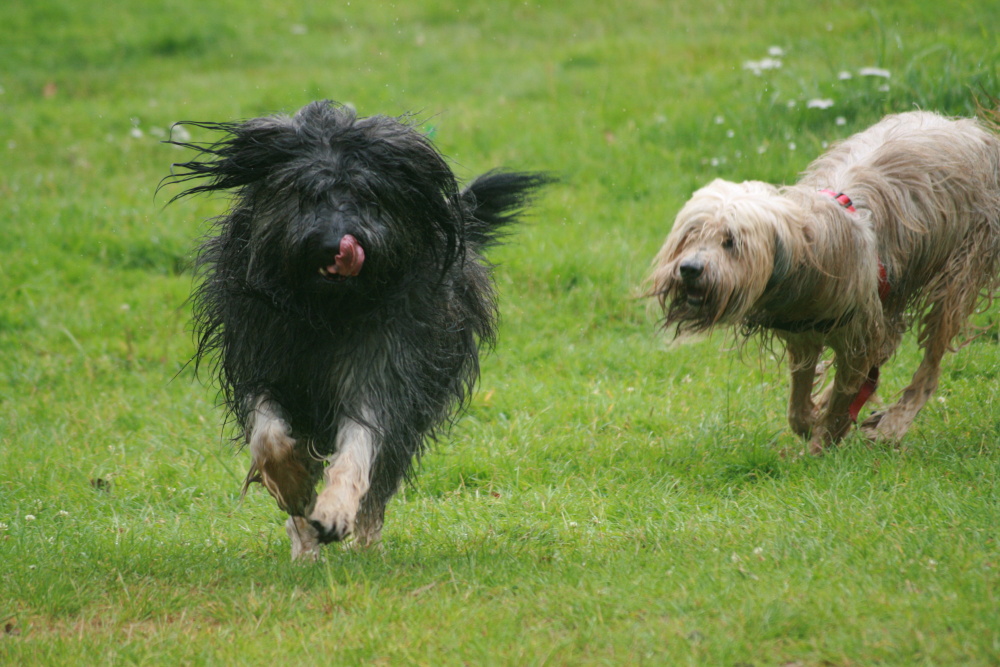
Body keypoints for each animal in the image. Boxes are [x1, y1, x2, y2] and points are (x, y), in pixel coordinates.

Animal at [167, 102, 552, 560]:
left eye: (369, 195)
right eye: (305, 192)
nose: (338, 244)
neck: (328, 309)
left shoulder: (387, 367)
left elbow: (359, 447)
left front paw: (334, 510)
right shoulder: (261, 362)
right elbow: (269, 437)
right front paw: (294, 488)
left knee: (381, 481)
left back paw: (363, 541)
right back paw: (305, 544)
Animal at [648, 112, 1000, 454]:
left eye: (730, 241)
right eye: (690, 235)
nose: (690, 269)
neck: (808, 249)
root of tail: (980, 132)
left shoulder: (857, 336)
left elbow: (846, 395)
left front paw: (823, 442)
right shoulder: (803, 333)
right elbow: (799, 402)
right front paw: (813, 418)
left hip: (959, 270)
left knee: (930, 363)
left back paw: (894, 423)